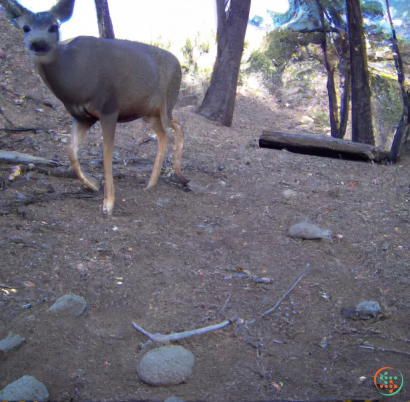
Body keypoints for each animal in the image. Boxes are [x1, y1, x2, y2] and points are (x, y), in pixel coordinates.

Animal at [0, 0, 187, 214]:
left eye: (53, 26)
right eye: (26, 28)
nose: (38, 43)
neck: (76, 83)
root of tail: (179, 63)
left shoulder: (109, 108)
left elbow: (106, 153)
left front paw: (108, 203)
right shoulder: (82, 116)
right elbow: (71, 150)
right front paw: (91, 185)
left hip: (166, 101)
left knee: (166, 131)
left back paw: (155, 182)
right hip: (148, 111)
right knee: (173, 126)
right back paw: (170, 177)